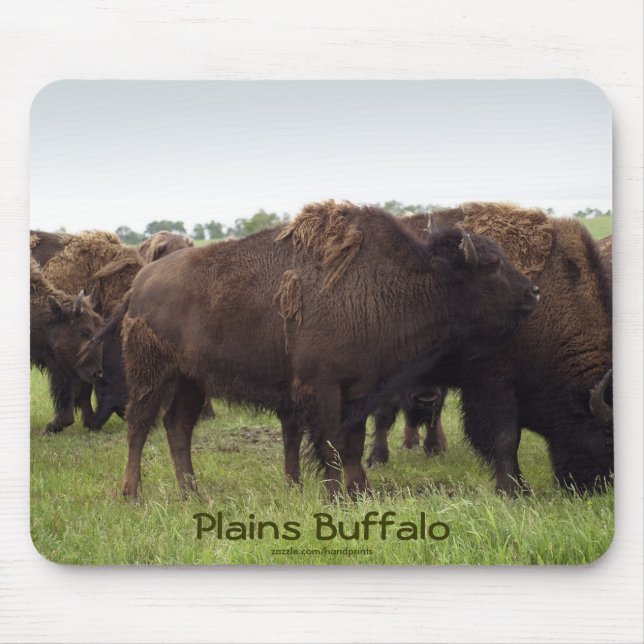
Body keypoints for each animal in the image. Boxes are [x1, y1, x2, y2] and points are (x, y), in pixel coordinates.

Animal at [112, 200, 538, 498]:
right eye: (493, 265)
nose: (533, 292)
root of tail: (141, 282)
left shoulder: (359, 392)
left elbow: (352, 445)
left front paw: (361, 492)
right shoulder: (323, 390)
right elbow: (332, 445)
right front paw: (337, 496)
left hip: (191, 380)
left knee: (177, 427)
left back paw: (192, 493)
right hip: (151, 375)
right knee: (138, 427)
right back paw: (132, 494)